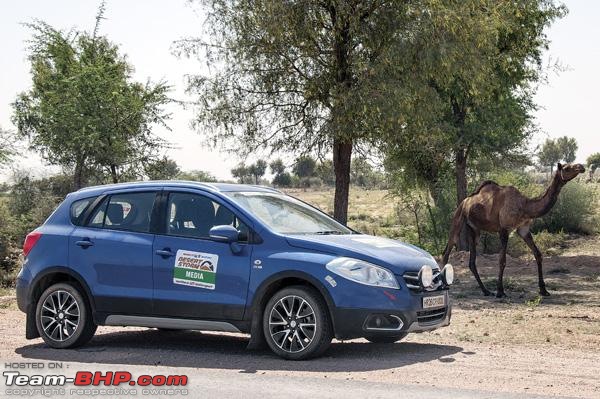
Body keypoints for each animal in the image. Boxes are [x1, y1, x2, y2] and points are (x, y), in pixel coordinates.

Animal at [440, 162, 584, 296]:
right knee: (446, 252)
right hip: (457, 220)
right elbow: (502, 260)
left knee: (471, 261)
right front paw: (500, 291)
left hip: (474, 229)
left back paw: (486, 291)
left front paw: (543, 290)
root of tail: (464, 202)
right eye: (567, 168)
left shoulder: (523, 229)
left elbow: (538, 254)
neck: (525, 206)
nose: (581, 167)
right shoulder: (504, 229)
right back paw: (443, 286)